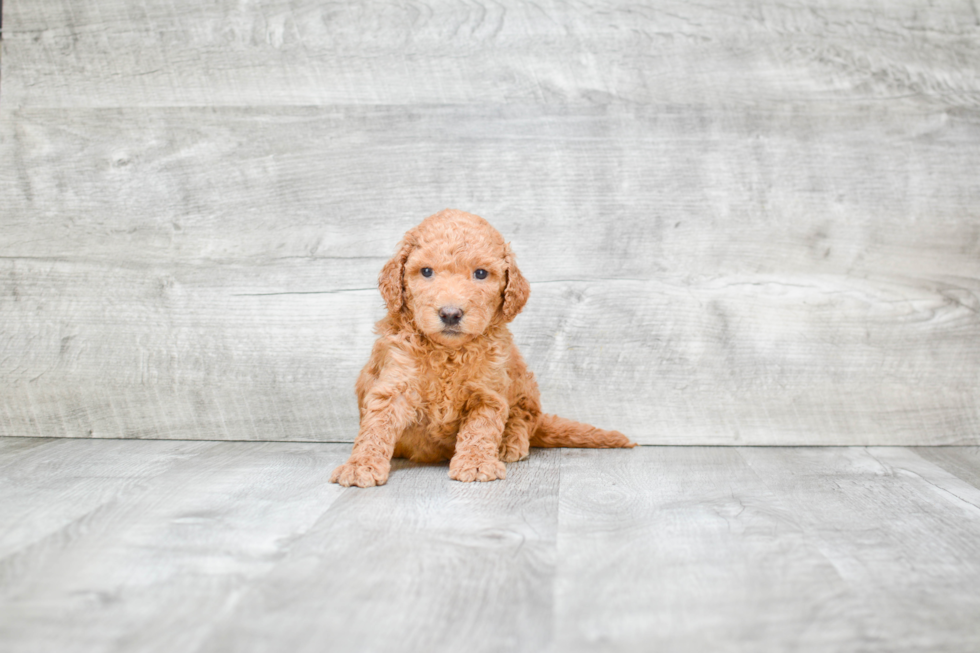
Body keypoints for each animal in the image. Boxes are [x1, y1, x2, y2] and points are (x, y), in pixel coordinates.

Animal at [330, 208, 636, 484]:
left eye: (480, 274)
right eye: (426, 271)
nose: (450, 313)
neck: (448, 352)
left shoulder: (488, 392)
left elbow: (481, 429)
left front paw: (476, 463)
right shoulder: (394, 383)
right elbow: (375, 429)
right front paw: (361, 466)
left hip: (522, 379)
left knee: (525, 415)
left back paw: (509, 443)